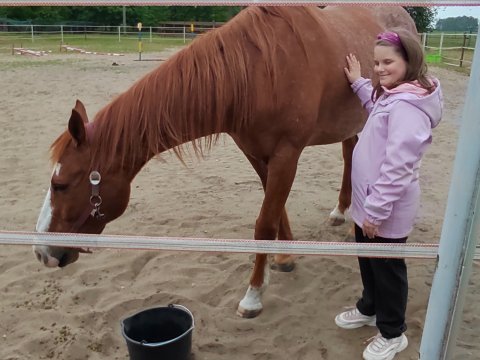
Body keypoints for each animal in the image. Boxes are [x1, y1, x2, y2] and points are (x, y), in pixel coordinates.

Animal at [34, 7, 416, 318]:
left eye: (60, 184)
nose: (41, 253)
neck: (259, 71)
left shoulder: (286, 153)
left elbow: (264, 222)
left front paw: (253, 297)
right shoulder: (257, 153)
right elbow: (276, 210)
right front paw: (285, 258)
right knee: (350, 152)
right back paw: (340, 212)